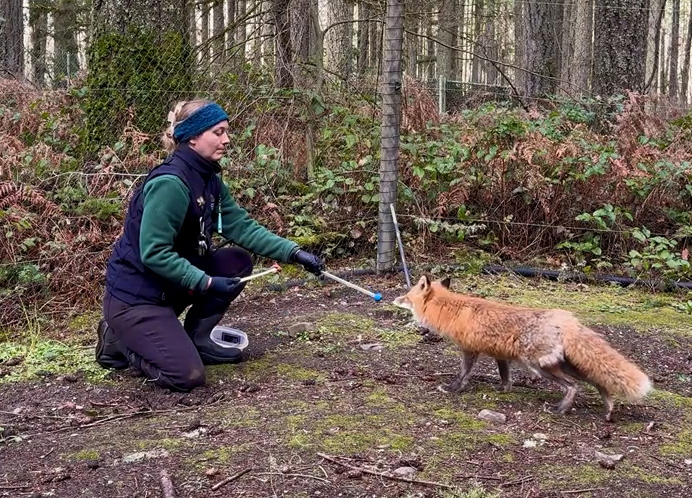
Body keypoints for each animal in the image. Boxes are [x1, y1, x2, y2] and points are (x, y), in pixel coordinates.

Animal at [393, 275, 652, 421]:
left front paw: (452, 388)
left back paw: (560, 410)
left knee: (573, 386)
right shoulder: (500, 354)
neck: (451, 309)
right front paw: (504, 390)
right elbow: (505, 376)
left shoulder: (469, 350)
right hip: (567, 364)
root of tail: (566, 319)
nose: (394, 300)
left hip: (539, 365)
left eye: (406, 297)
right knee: (599, 381)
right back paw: (608, 408)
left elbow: (463, 374)